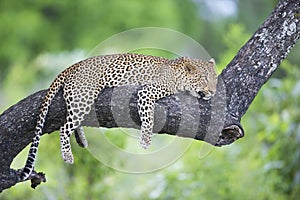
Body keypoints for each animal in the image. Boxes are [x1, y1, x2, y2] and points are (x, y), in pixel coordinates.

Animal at [21, 52, 218, 180]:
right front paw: (145, 141)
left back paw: (82, 140)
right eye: (203, 78)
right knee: (64, 127)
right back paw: (68, 156)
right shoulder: (146, 92)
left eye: (215, 79)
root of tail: (72, 66)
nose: (213, 92)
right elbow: (149, 117)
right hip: (84, 97)